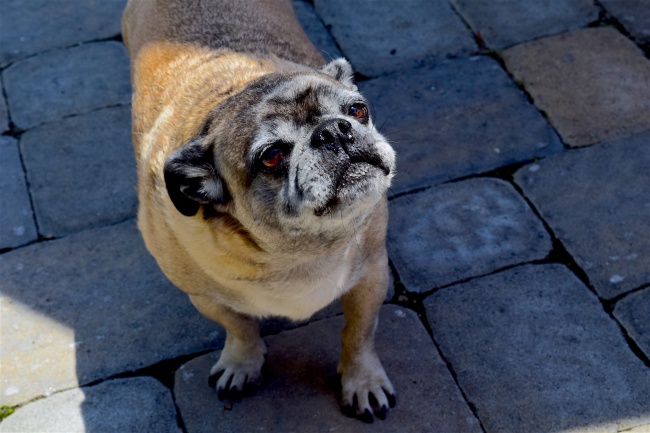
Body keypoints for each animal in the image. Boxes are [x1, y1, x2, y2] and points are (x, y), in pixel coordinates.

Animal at [121, 0, 394, 420]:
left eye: (358, 110)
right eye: (272, 156)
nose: (334, 130)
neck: (300, 254)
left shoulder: (372, 274)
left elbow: (358, 334)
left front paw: (362, 381)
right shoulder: (205, 298)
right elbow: (239, 328)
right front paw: (241, 362)